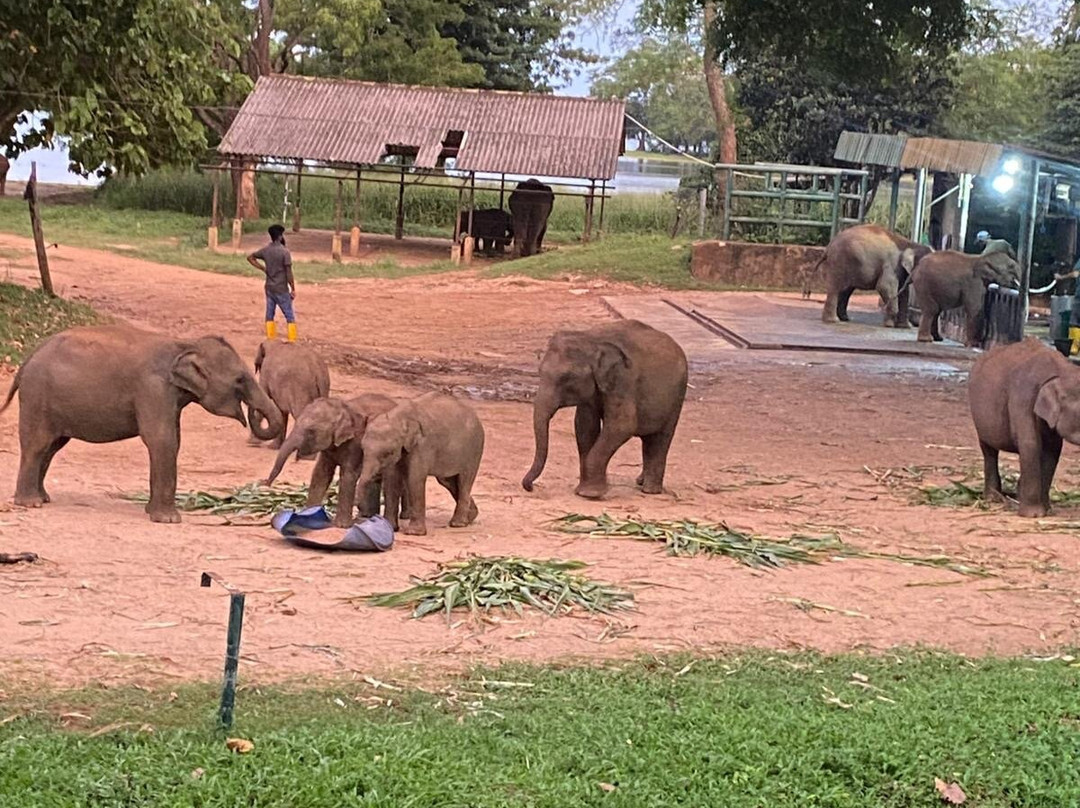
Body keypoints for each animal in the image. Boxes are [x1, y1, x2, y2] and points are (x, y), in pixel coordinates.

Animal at [0, 325, 283, 523]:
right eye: (240, 379)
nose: (251, 413)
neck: (184, 344)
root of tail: (27, 359)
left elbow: (173, 440)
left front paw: (152, 512)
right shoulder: (153, 389)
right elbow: (162, 440)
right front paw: (169, 520)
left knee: (52, 447)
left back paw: (43, 498)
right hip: (37, 397)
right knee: (38, 445)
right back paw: (31, 503)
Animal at [264, 394, 408, 529]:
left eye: (311, 431)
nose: (265, 483)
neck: (343, 408)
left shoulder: (356, 442)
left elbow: (348, 475)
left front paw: (342, 526)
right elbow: (320, 474)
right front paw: (307, 516)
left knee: (390, 480)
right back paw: (366, 517)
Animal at [356, 392, 485, 536]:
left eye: (388, 453)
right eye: (362, 449)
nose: (361, 515)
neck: (400, 417)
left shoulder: (423, 446)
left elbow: (415, 479)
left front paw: (414, 533)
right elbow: (391, 480)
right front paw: (390, 528)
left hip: (474, 450)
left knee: (464, 481)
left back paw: (458, 524)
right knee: (448, 481)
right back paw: (471, 516)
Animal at [522, 319, 688, 500]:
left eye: (567, 378)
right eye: (539, 372)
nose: (530, 487)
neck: (591, 339)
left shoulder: (623, 381)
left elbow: (622, 426)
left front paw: (589, 494)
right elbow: (585, 426)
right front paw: (583, 490)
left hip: (676, 397)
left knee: (661, 438)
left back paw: (650, 490)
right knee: (649, 440)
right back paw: (640, 482)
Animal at [968, 338, 1080, 517]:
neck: (1061, 371)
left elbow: (1052, 450)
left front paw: (1047, 509)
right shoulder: (1023, 397)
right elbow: (1030, 444)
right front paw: (1033, 515)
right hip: (979, 416)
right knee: (989, 450)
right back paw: (994, 498)